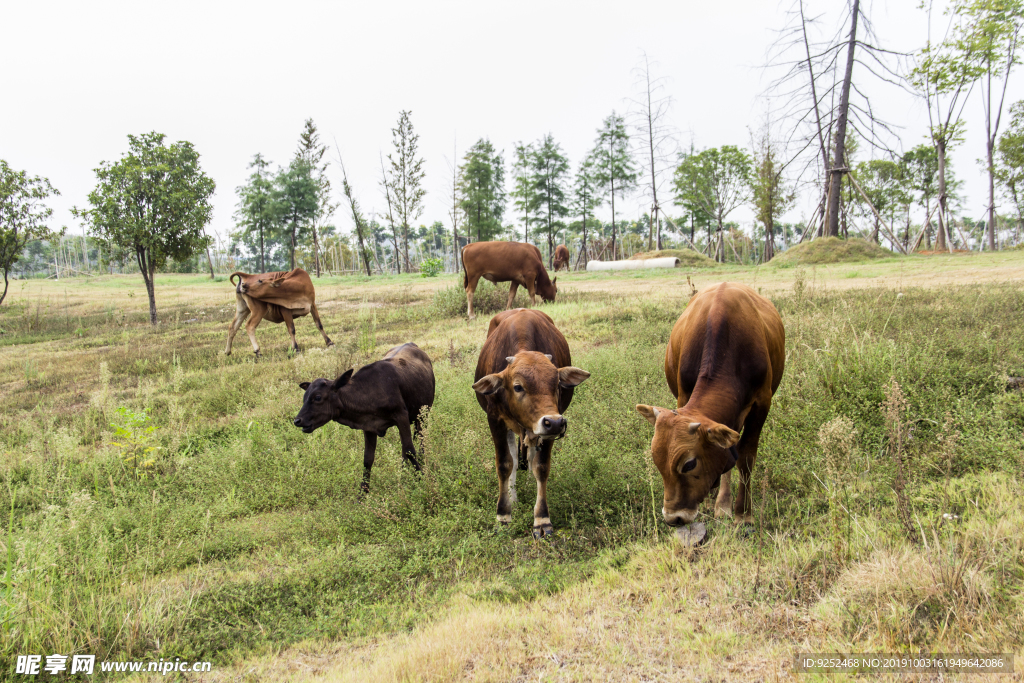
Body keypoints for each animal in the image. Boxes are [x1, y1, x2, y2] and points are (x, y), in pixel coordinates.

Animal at [290, 342, 434, 491]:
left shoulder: (402, 417)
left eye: (317, 397)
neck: (369, 392)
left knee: (421, 439)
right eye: (304, 398)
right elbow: (368, 459)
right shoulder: (369, 426)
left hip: (423, 414)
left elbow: (410, 450)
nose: (297, 420)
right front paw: (363, 492)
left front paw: (421, 478)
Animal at [473, 307, 593, 536]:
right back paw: (513, 497)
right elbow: (504, 464)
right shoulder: (495, 420)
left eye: (556, 383)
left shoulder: (548, 428)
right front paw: (503, 514)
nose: (555, 423)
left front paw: (542, 519)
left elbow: (541, 466)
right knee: (513, 455)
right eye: (518, 386)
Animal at [634, 280, 786, 528]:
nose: (674, 518)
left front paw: (743, 513)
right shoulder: (684, 395)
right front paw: (711, 503)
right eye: (656, 461)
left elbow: (745, 457)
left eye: (689, 464)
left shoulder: (762, 403)